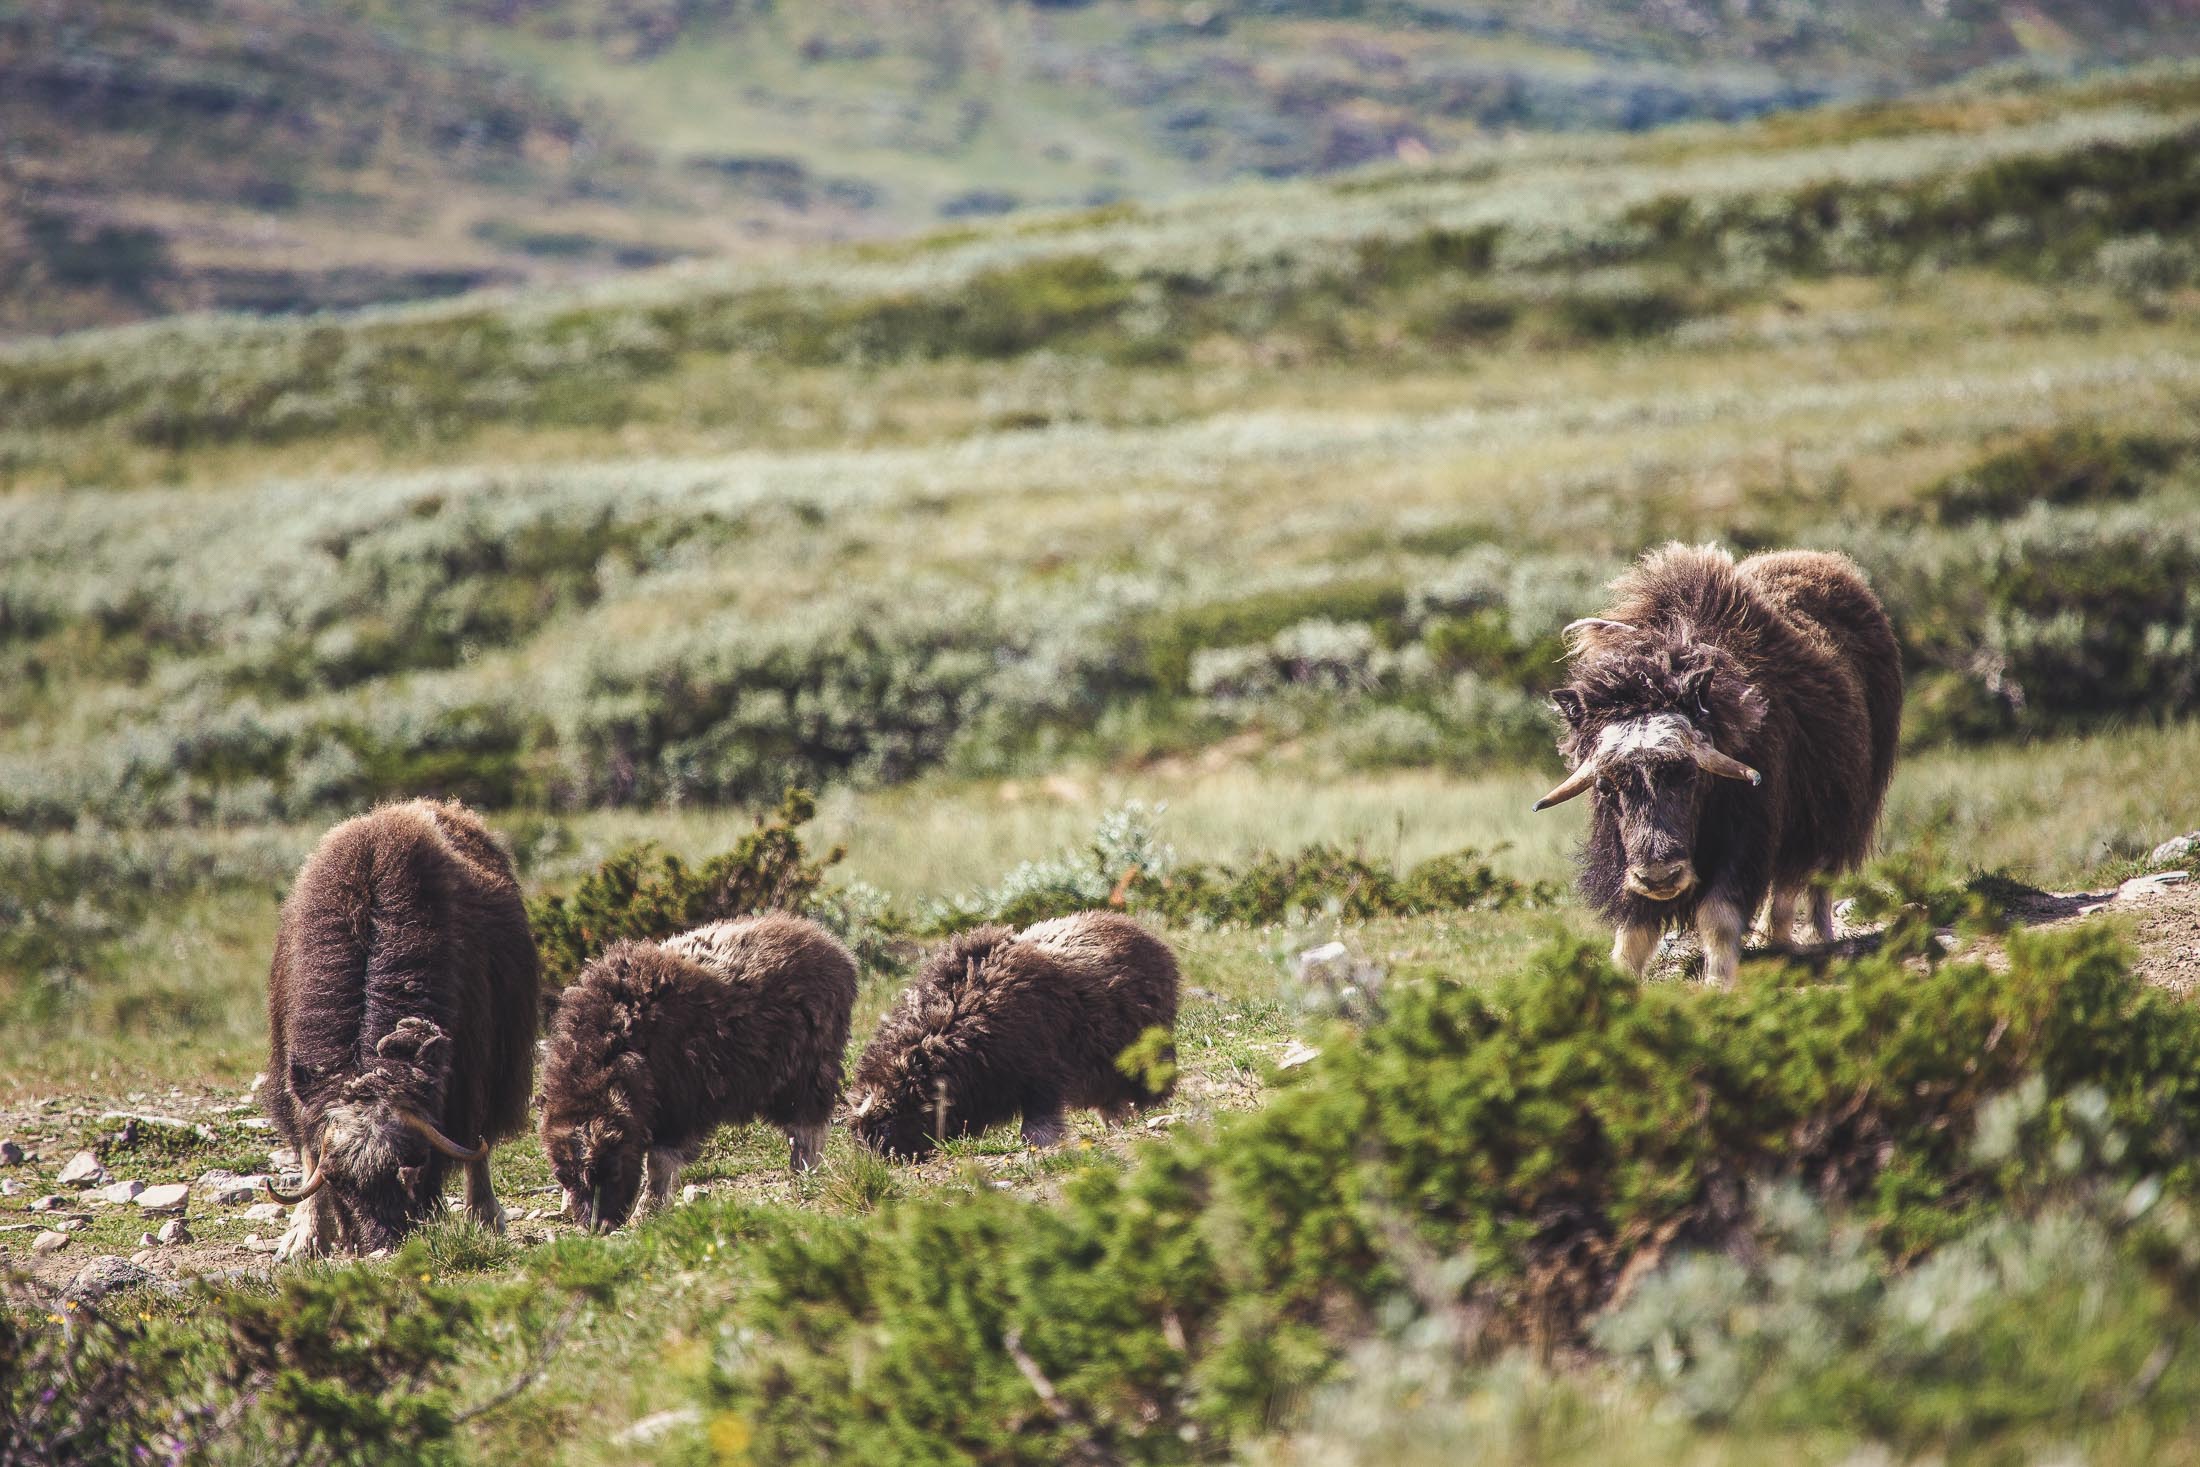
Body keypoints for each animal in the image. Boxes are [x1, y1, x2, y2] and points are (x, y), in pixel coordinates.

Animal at [264, 804, 539, 1266]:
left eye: (417, 1162)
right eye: (338, 1181)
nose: (383, 1247)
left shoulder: (469, 1066)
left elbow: (471, 1138)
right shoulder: (297, 1077)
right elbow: (307, 1149)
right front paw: (303, 1240)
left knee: (478, 1144)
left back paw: (485, 1217)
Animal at [541, 910, 858, 1231]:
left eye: (612, 1168)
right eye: (564, 1178)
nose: (597, 1226)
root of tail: (834, 950)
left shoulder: (680, 1108)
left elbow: (659, 1162)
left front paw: (647, 1212)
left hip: (805, 1074)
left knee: (809, 1125)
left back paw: (803, 1175)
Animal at [849, 910, 1179, 1161]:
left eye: (887, 1121)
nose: (883, 1160)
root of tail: (1150, 940)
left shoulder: (1040, 1072)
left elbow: (1039, 1116)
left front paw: (1042, 1142)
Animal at [1540, 547, 1900, 985]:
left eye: (1689, 775)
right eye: (1608, 787)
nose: (1659, 877)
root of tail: (1827, 562)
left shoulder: (1747, 832)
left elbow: (1719, 915)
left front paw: (1717, 983)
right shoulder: (1624, 852)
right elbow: (1633, 927)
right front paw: (1620, 981)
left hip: (1837, 810)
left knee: (1808, 878)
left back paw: (1810, 938)